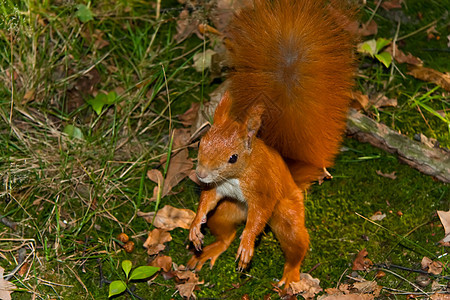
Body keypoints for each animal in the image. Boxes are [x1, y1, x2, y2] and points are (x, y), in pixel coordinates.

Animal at [186, 0, 356, 288]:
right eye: (201, 143)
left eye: (233, 157)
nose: (201, 174)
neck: (236, 176)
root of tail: (293, 176)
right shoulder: (218, 188)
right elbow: (207, 200)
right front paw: (196, 226)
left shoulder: (263, 188)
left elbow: (259, 215)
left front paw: (247, 245)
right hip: (226, 213)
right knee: (225, 233)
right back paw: (212, 248)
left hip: (287, 214)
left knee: (295, 243)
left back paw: (290, 274)